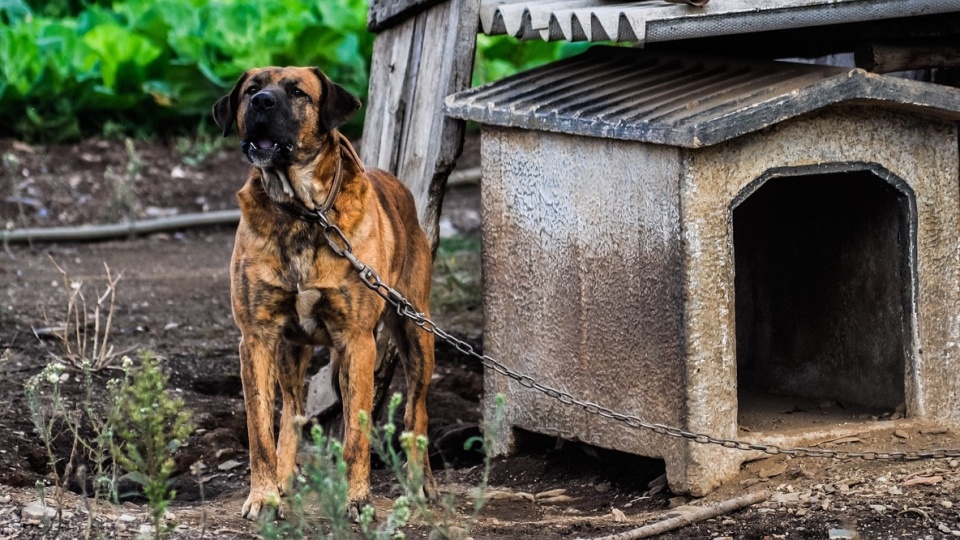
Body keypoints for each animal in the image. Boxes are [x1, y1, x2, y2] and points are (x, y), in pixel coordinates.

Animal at [212, 66, 436, 520]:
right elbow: (260, 428)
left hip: (417, 332)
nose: (261, 101)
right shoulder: (257, 338)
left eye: (298, 92)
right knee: (293, 411)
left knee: (415, 412)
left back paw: (420, 484)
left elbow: (357, 433)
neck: (303, 213)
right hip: (290, 350)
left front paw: (358, 499)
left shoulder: (357, 340)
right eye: (250, 89)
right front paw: (264, 495)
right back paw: (284, 477)